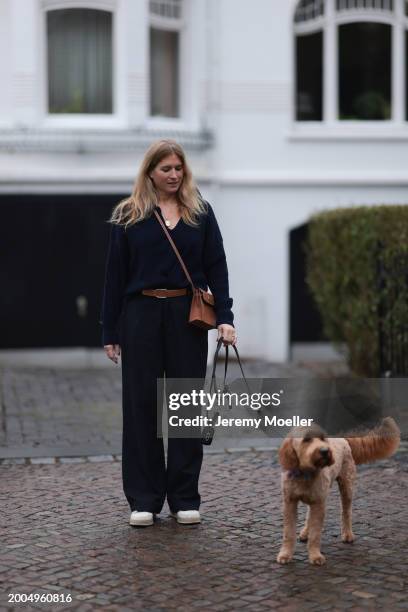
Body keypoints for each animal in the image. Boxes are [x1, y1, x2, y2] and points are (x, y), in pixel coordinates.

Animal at [276, 418, 400, 568]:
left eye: (323, 438)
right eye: (306, 439)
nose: (324, 451)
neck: (306, 473)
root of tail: (343, 438)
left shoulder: (319, 504)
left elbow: (316, 534)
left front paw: (315, 556)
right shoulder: (290, 503)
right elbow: (288, 533)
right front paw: (285, 554)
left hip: (347, 487)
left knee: (346, 512)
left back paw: (347, 534)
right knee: (309, 513)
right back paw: (305, 532)